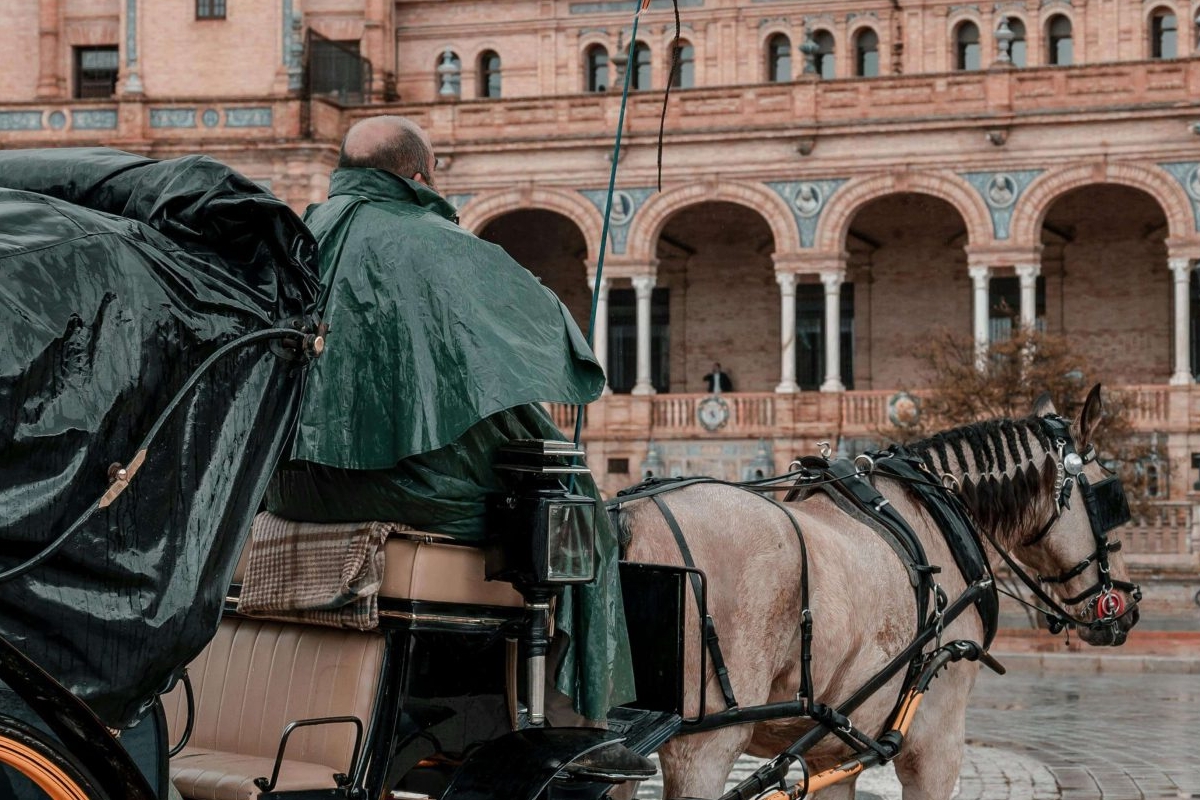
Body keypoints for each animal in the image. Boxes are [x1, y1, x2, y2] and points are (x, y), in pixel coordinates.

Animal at [614, 383, 1137, 796]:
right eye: (1112, 494)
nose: (1129, 605)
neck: (931, 508)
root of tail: (629, 517)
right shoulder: (937, 746)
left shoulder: (832, 754)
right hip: (707, 745)